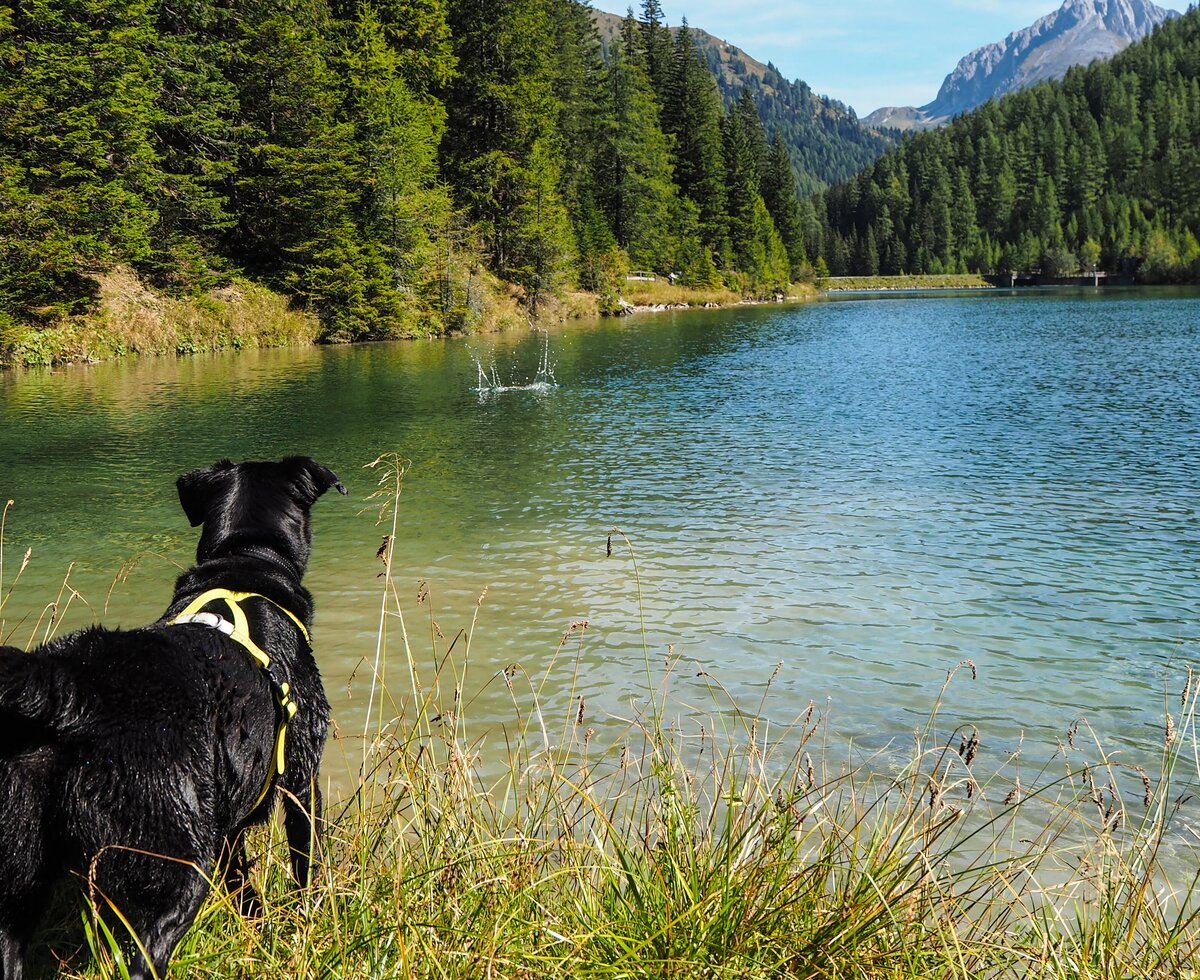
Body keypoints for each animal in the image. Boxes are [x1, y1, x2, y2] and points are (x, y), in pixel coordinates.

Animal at [0, 455, 345, 974]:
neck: (244, 563)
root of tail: (71, 687)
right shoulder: (302, 779)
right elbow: (308, 865)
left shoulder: (229, 816)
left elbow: (243, 888)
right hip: (176, 865)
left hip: (18, 880)